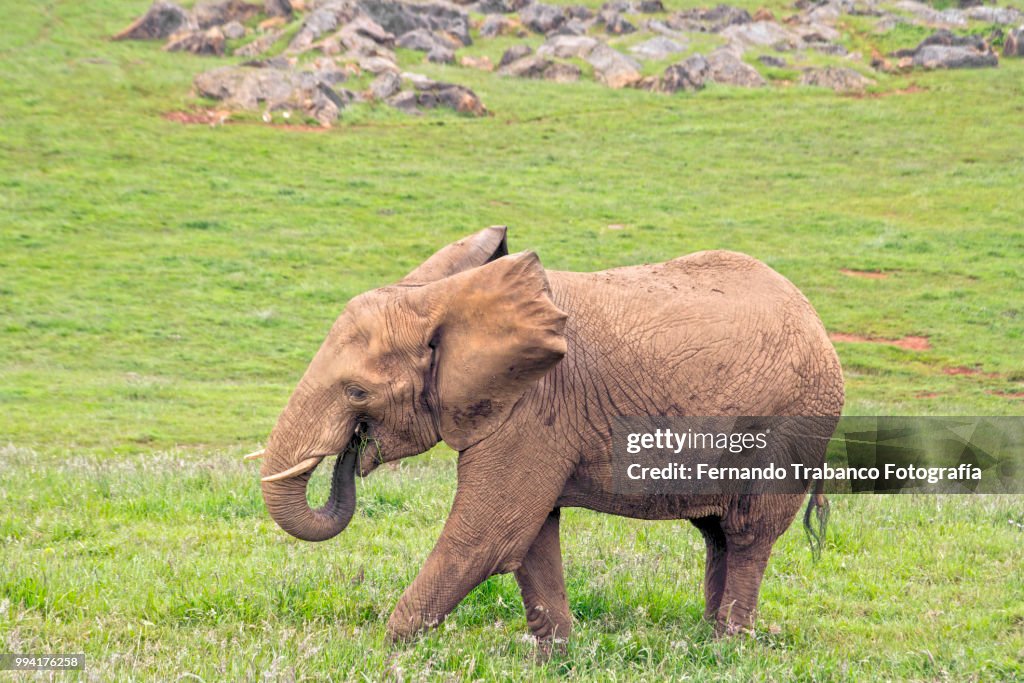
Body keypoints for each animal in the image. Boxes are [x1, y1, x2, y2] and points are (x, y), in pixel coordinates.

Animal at [251, 227, 843, 643]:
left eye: (356, 392)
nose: (355, 450)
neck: (442, 301)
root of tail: (814, 316)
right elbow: (532, 538)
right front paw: (556, 657)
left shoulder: (532, 408)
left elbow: (487, 536)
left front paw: (384, 654)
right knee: (716, 534)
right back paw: (702, 640)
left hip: (792, 424)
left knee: (746, 535)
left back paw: (724, 647)